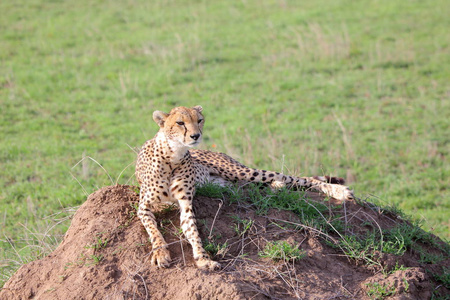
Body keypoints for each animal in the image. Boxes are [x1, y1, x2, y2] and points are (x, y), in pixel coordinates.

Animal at [135, 105, 354, 270]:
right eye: (180, 123)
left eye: (199, 120)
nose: (196, 135)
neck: (174, 155)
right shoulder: (144, 207)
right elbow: (154, 231)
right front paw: (161, 253)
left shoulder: (185, 203)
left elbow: (193, 232)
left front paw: (203, 258)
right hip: (235, 183)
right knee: (266, 185)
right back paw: (278, 187)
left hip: (242, 172)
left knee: (299, 178)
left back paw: (339, 191)